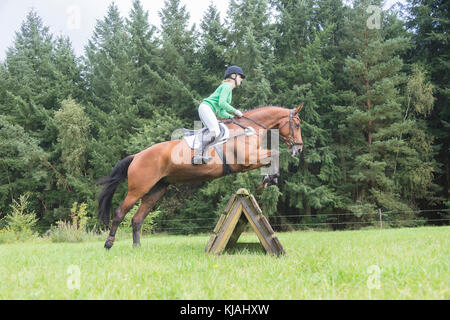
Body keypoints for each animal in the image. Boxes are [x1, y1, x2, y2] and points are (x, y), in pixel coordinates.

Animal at [96, 104, 304, 249]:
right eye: (297, 124)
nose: (299, 149)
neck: (249, 128)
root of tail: (137, 155)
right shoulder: (246, 160)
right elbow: (275, 153)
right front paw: (270, 178)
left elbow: (273, 155)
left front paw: (269, 179)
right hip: (138, 188)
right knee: (120, 212)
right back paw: (109, 243)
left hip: (156, 190)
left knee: (137, 218)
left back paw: (137, 247)